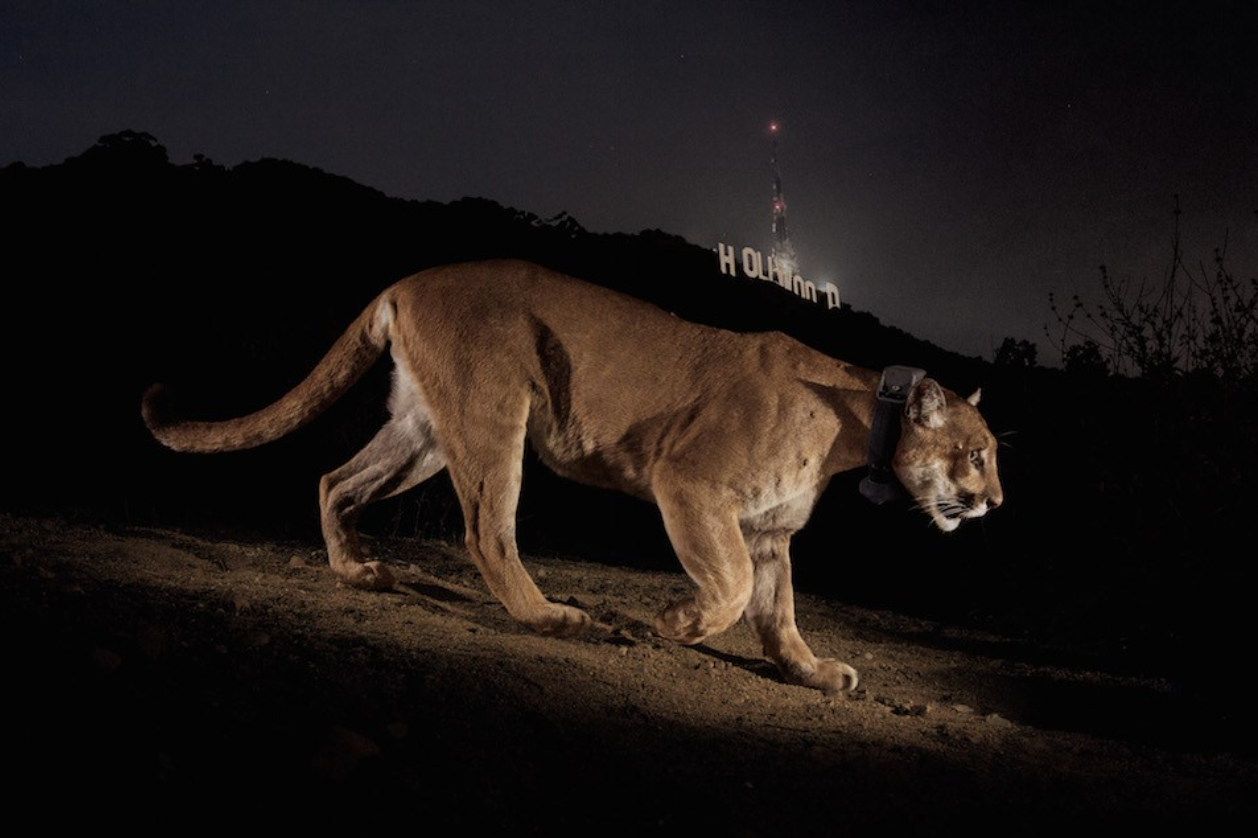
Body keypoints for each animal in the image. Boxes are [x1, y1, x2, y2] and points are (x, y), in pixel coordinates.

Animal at [142, 260, 1002, 694]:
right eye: (978, 452)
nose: (995, 500)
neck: (857, 423)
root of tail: (410, 280)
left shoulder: (769, 532)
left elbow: (777, 613)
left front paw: (814, 671)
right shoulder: (690, 484)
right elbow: (727, 590)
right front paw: (674, 622)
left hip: (424, 430)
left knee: (334, 480)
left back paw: (359, 571)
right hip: (495, 413)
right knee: (487, 531)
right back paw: (555, 618)